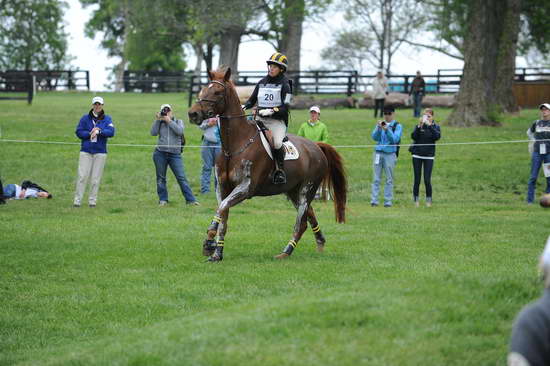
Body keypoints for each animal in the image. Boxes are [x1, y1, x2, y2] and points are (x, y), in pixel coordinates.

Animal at [188, 68, 348, 262]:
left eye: (217, 92)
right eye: (203, 89)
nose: (193, 114)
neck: (235, 145)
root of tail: (316, 146)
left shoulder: (246, 188)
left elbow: (221, 208)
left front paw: (209, 241)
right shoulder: (223, 188)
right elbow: (223, 216)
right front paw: (216, 252)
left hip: (306, 190)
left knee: (301, 222)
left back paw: (286, 252)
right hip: (293, 191)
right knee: (309, 215)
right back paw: (319, 243)